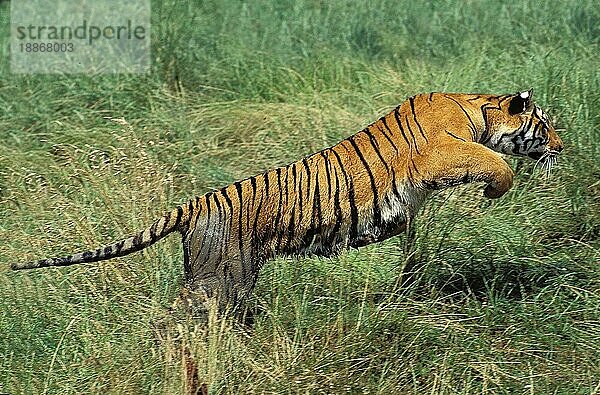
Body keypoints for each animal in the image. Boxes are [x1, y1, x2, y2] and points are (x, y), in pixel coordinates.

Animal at [9, 89, 564, 316]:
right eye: (546, 125)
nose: (563, 145)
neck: (477, 107)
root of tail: (193, 205)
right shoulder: (440, 153)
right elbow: (495, 162)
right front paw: (495, 189)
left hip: (232, 276)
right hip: (216, 280)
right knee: (174, 317)